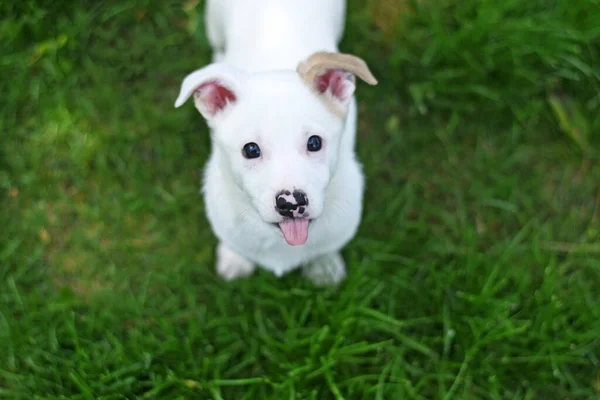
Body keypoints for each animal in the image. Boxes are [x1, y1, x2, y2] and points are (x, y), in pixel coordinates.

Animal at [176, 0, 378, 288]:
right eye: (251, 149)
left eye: (314, 143)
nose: (291, 204)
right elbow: (234, 242)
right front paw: (235, 260)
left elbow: (326, 248)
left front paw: (324, 268)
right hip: (214, 19)